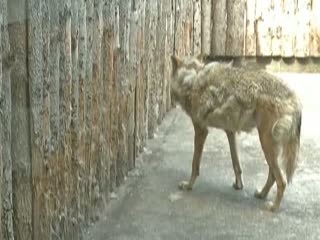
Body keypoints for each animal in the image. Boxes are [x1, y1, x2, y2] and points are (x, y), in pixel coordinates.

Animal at [171, 54, 302, 212]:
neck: (192, 77)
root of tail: (295, 98)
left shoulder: (201, 130)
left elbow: (194, 164)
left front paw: (188, 185)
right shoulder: (230, 132)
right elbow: (236, 164)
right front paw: (239, 185)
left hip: (266, 143)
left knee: (282, 181)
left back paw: (273, 207)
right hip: (269, 146)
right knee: (273, 176)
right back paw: (261, 194)